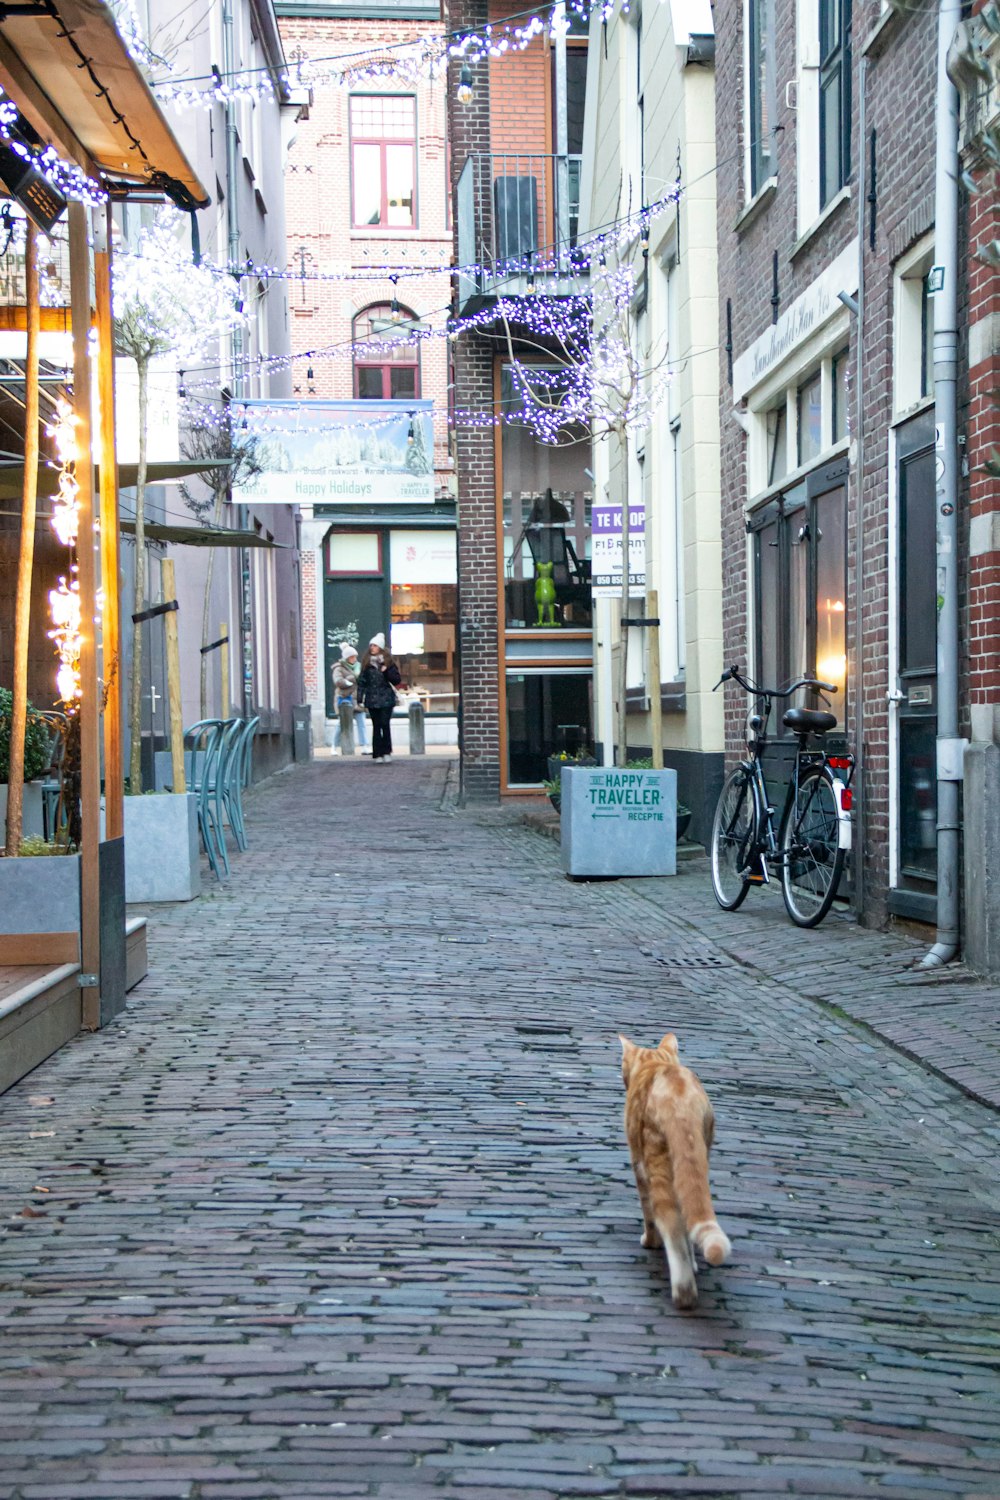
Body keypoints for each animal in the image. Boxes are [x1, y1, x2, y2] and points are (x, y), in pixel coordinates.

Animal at [614, 1038, 731, 1308]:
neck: (655, 1064)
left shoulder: (638, 1165)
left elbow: (649, 1215)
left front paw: (650, 1242)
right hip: (694, 1160)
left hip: (656, 1165)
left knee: (670, 1224)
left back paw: (684, 1291)